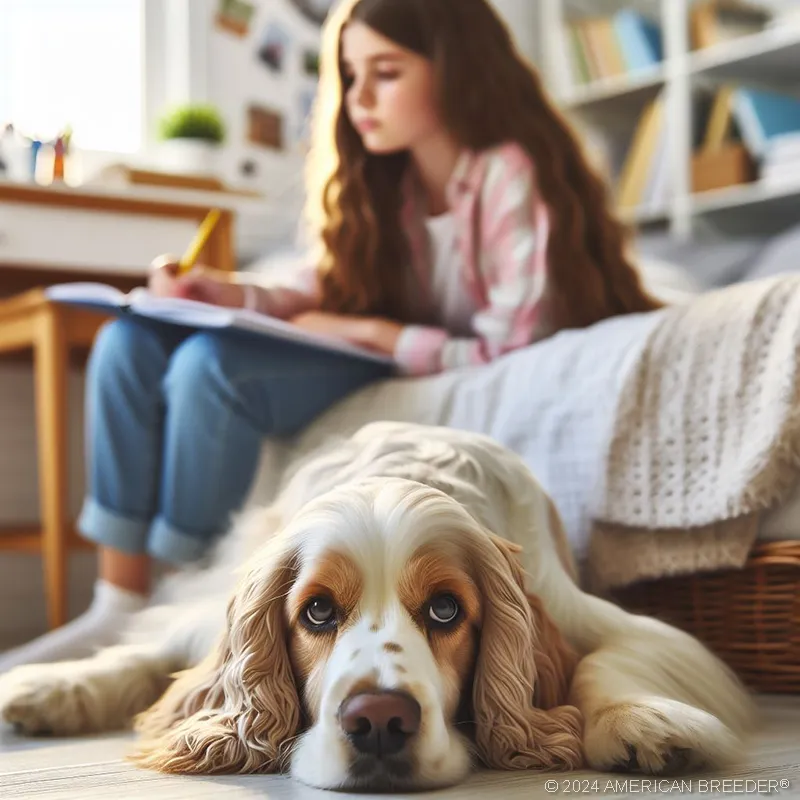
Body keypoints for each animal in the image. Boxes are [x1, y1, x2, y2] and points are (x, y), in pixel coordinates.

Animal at [0, 422, 752, 792]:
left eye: (446, 610)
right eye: (317, 613)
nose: (381, 722)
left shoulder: (608, 618)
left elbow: (605, 662)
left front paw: (644, 720)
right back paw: (45, 687)